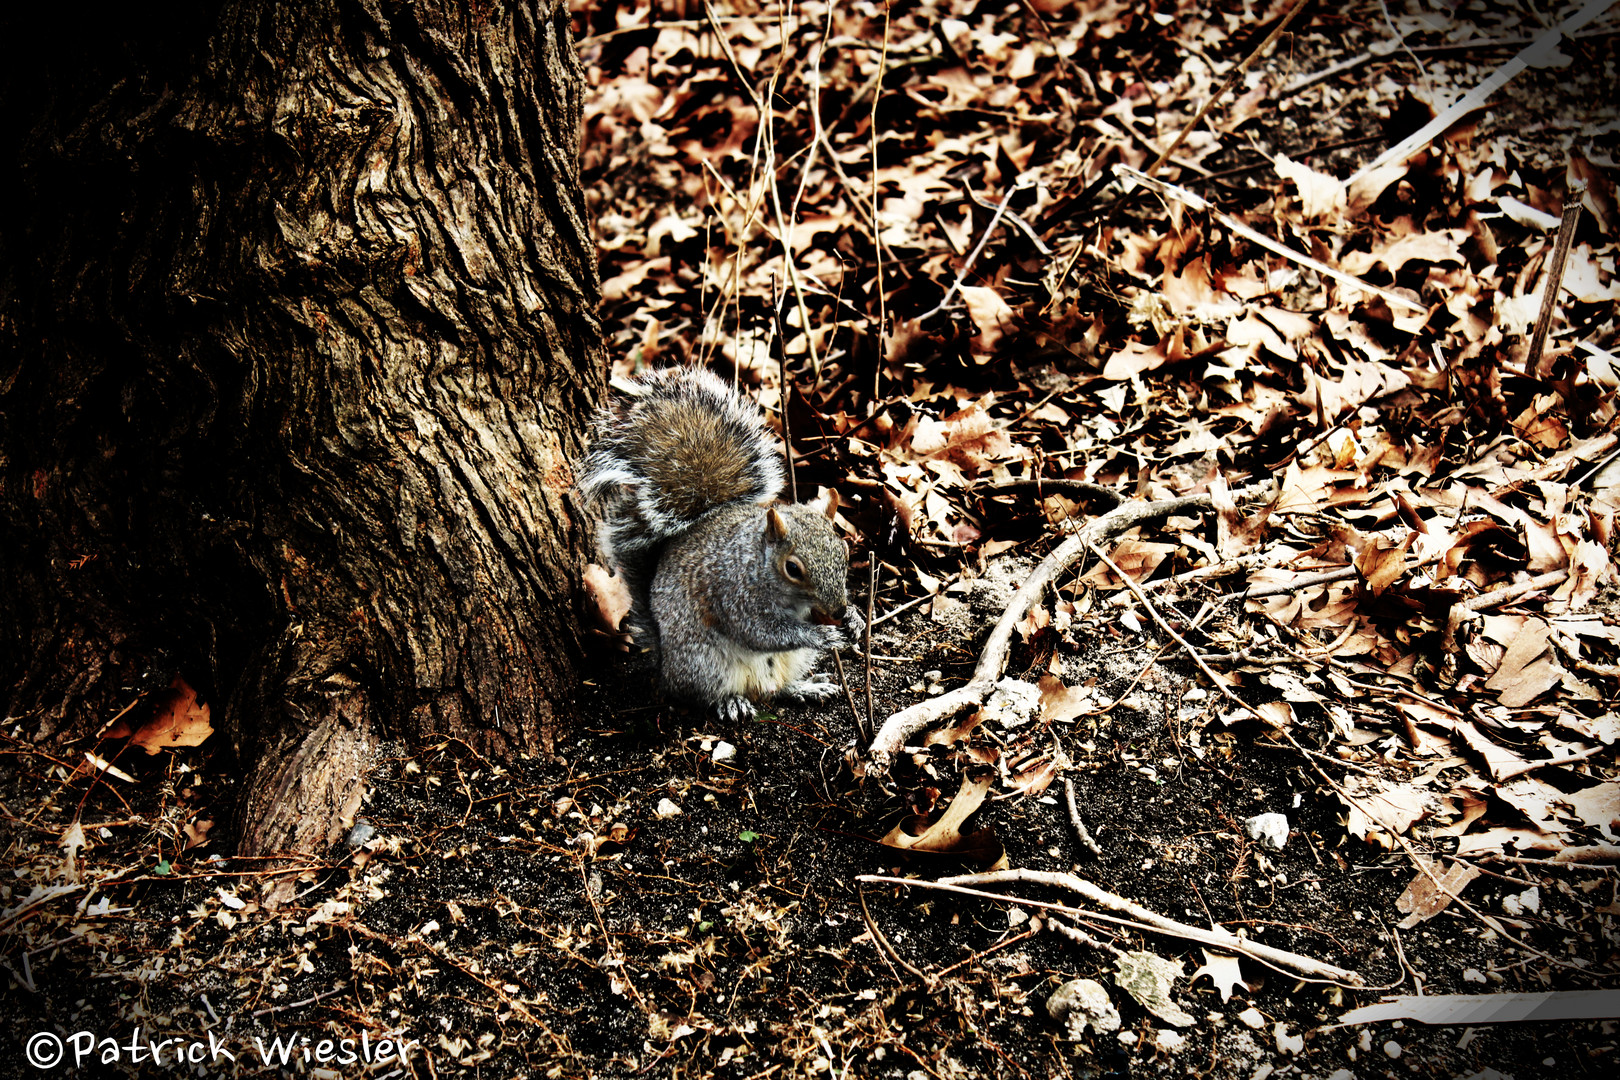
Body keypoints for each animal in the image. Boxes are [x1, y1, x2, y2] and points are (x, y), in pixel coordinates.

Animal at [579, 367, 868, 722]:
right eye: (792, 568)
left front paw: (855, 619)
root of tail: (666, 666)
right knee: (701, 695)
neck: (757, 564)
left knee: (779, 688)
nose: (838, 609)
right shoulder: (733, 595)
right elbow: (762, 632)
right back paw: (730, 702)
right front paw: (822, 634)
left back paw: (806, 687)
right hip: (704, 664)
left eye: (844, 552)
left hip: (792, 660)